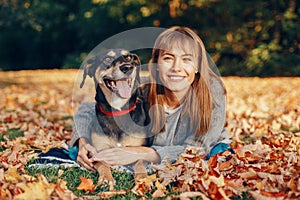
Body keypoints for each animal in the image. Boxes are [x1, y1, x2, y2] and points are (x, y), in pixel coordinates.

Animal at [79, 48, 152, 191]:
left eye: (129, 57)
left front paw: (143, 179)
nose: (127, 67)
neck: (118, 111)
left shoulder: (140, 149)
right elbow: (102, 163)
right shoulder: (98, 151)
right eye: (107, 58)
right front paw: (106, 178)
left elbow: (140, 162)